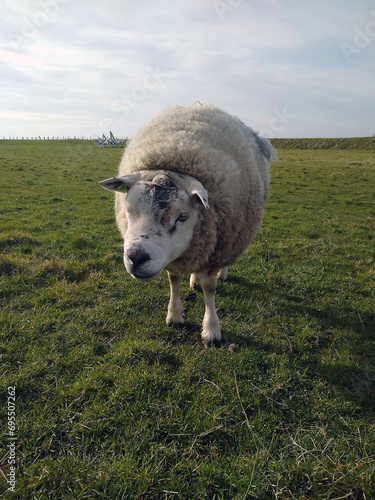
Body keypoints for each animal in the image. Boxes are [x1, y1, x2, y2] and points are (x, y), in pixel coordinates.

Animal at [100, 103, 276, 348]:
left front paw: (211, 330)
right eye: (128, 209)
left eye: (182, 216)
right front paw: (174, 315)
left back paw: (222, 274)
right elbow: (173, 280)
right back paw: (194, 280)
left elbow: (210, 288)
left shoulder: (216, 249)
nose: (136, 258)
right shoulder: (176, 256)